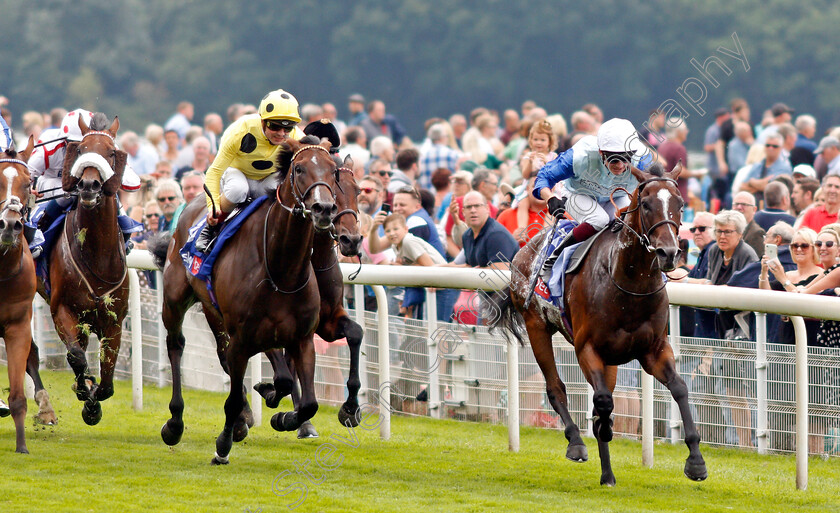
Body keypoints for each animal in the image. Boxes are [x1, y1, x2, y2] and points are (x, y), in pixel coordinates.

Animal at [33, 115, 129, 424]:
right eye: (82, 149)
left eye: (111, 152)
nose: (88, 186)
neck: (97, 256)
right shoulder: (62, 308)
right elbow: (76, 356)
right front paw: (87, 397)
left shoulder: (113, 320)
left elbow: (108, 381)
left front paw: (92, 397)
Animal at [154, 138, 342, 462]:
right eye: (299, 168)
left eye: (334, 171)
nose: (324, 209)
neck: (281, 270)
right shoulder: (243, 337)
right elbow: (233, 397)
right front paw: (223, 445)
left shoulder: (302, 338)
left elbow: (309, 403)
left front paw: (284, 416)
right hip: (176, 299)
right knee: (176, 344)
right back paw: (175, 423)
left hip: (216, 311)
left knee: (231, 355)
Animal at [253, 160, 364, 436]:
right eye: (334, 192)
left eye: (357, 191)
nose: (351, 240)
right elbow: (287, 367)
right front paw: (291, 416)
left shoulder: (326, 322)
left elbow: (355, 333)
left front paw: (350, 409)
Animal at [488, 163, 704, 484]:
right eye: (646, 204)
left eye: (679, 204)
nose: (668, 252)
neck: (629, 285)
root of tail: (525, 249)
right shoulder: (587, 348)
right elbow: (602, 401)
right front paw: (599, 431)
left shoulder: (653, 349)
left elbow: (679, 388)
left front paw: (696, 461)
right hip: (536, 325)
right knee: (556, 388)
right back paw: (576, 442)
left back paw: (608, 474)